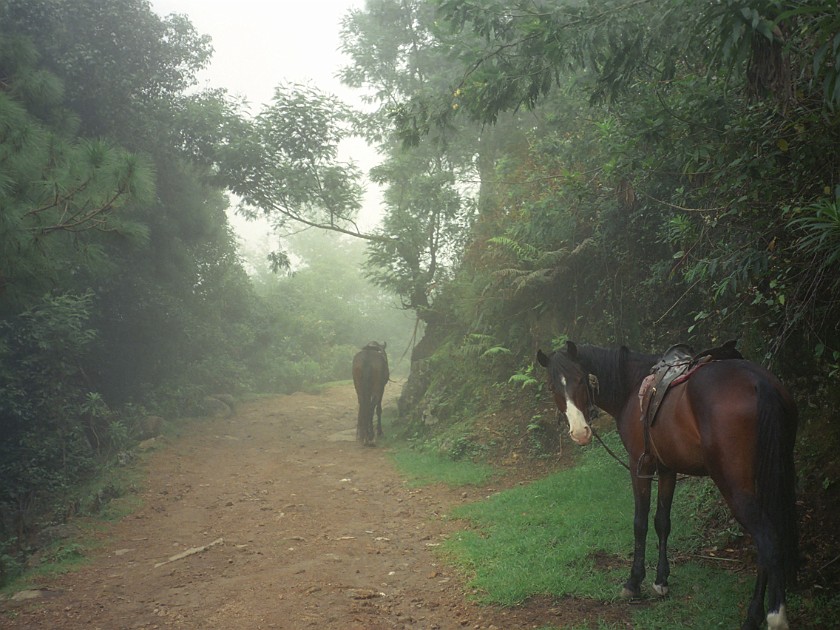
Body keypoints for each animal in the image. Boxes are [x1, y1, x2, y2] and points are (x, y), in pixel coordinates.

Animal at [540, 344, 800, 630]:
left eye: (580, 379)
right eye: (553, 386)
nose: (580, 432)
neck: (632, 386)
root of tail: (759, 383)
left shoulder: (639, 465)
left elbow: (640, 522)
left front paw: (634, 582)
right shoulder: (667, 468)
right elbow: (662, 521)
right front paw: (661, 581)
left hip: (736, 488)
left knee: (768, 540)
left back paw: (774, 616)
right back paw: (754, 615)